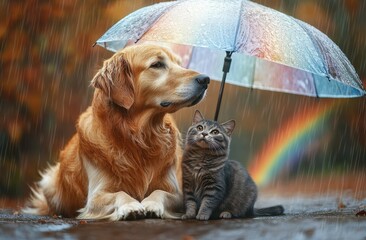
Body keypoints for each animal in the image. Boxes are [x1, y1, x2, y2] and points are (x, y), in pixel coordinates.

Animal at [22, 44, 210, 220]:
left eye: (179, 64)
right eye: (157, 64)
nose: (205, 79)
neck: (140, 137)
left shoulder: (176, 192)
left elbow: (160, 192)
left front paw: (151, 204)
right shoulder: (96, 196)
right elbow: (120, 194)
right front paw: (131, 206)